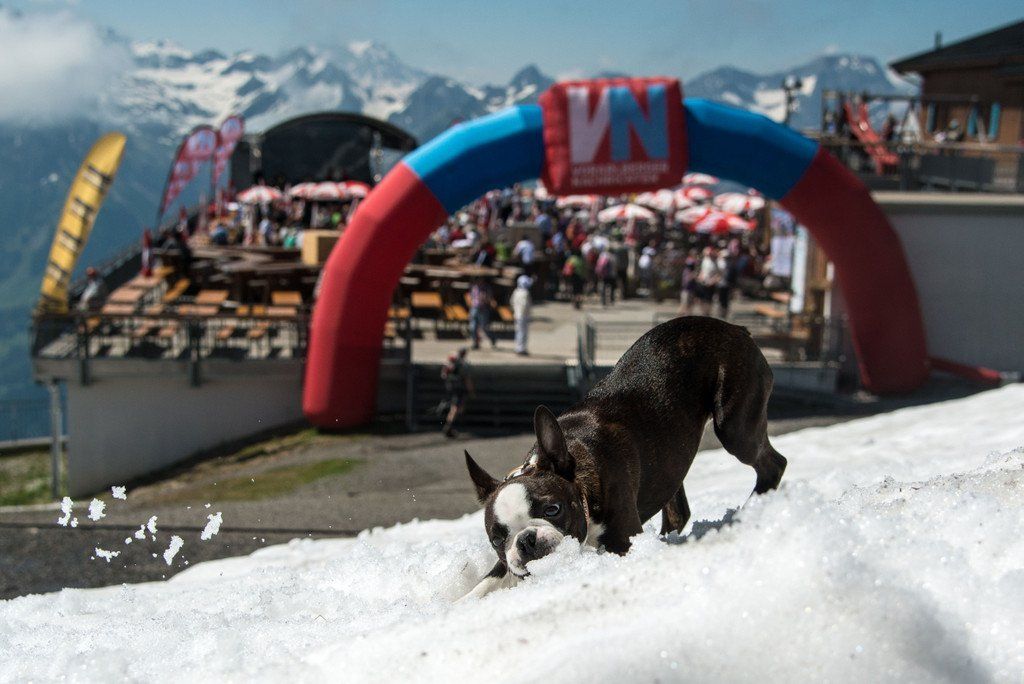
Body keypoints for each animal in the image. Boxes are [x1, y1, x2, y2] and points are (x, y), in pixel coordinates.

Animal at [462, 316, 787, 598]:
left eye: (552, 509)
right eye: (496, 539)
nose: (526, 541)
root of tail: (735, 328)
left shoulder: (623, 539)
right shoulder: (506, 563)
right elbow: (488, 581)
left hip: (735, 426)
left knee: (773, 464)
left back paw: (751, 510)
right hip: (669, 459)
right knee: (678, 509)